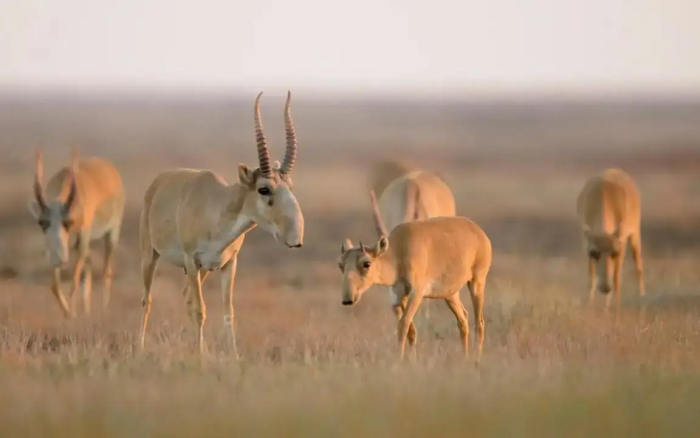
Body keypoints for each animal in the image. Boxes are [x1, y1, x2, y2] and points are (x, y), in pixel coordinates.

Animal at [27, 149, 126, 316]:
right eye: (42, 222)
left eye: (69, 222)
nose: (59, 259)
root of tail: (111, 170)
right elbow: (55, 285)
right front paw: (69, 313)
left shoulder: (81, 241)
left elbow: (74, 279)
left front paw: (73, 314)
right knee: (89, 267)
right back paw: (87, 312)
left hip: (111, 234)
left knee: (106, 271)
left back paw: (104, 311)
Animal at [141, 90, 304, 356]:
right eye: (264, 188)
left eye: (289, 186)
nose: (295, 237)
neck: (216, 209)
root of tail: (158, 182)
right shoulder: (192, 261)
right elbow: (200, 310)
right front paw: (200, 357)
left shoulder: (228, 264)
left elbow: (228, 312)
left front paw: (233, 356)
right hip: (151, 255)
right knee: (147, 300)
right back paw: (140, 348)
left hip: (203, 270)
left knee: (186, 297)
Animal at [340, 190, 492, 362]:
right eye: (341, 264)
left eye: (366, 263)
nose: (347, 299)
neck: (398, 251)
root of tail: (480, 233)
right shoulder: (397, 298)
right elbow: (410, 330)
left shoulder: (416, 294)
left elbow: (404, 324)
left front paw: (399, 359)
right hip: (450, 294)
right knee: (463, 319)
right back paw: (464, 356)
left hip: (477, 283)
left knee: (479, 322)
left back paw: (476, 356)